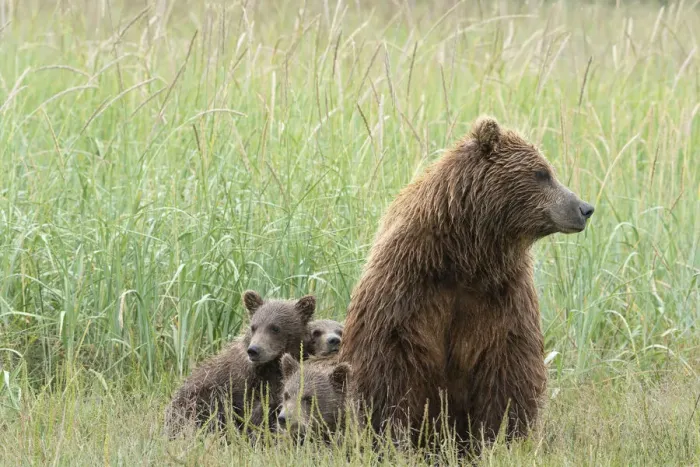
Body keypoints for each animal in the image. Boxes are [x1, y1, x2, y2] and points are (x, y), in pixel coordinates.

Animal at [339, 116, 594, 452]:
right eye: (542, 173)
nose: (585, 208)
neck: (466, 256)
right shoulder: (407, 285)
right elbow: (389, 361)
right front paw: (391, 435)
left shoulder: (502, 294)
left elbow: (509, 366)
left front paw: (501, 437)